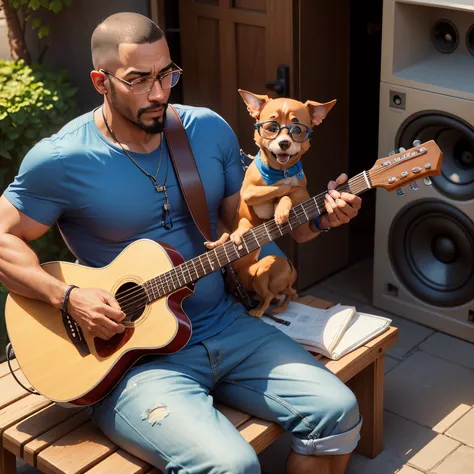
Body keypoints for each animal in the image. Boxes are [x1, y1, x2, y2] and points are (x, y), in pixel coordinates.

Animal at [207, 90, 336, 316]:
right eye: (271, 127)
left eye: (297, 129)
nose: (284, 143)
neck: (279, 171)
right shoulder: (249, 192)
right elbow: (280, 189)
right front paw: (280, 202)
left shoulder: (301, 192)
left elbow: (291, 191)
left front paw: (281, 209)